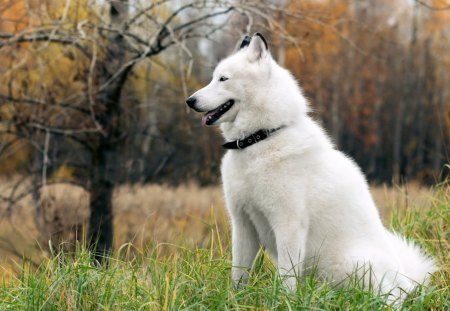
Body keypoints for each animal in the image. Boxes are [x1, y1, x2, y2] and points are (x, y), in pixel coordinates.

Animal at [185, 33, 434, 302]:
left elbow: (286, 277)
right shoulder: (243, 224)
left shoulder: (288, 225)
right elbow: (239, 274)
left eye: (223, 78)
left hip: (352, 264)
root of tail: (406, 282)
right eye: (213, 77)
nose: (190, 101)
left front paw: (283, 302)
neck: (261, 139)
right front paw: (236, 301)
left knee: (389, 299)